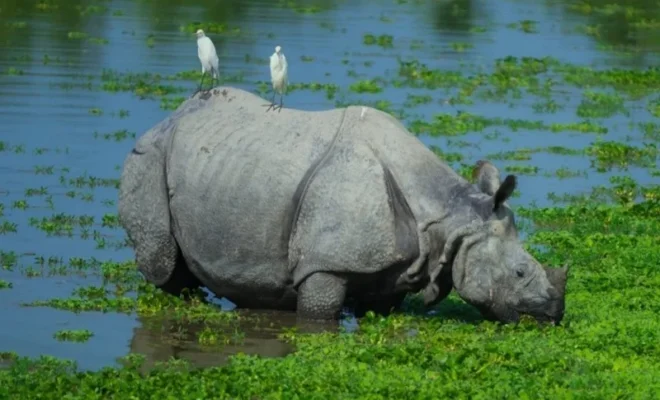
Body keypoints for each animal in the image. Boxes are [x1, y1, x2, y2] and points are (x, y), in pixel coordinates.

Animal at [117, 86, 568, 324]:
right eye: (520, 272)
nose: (554, 313)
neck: (451, 219)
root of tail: (169, 117)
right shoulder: (324, 264)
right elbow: (320, 312)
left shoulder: (396, 270)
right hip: (150, 155)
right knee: (162, 265)